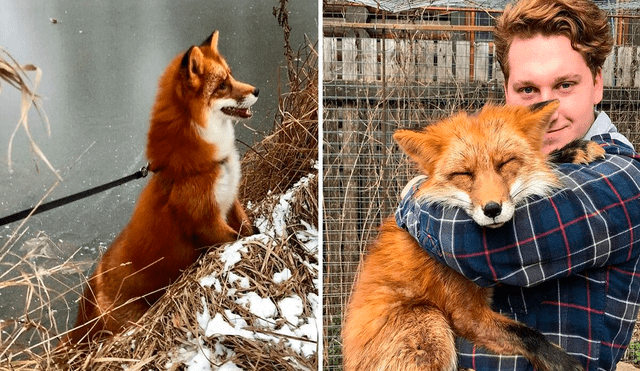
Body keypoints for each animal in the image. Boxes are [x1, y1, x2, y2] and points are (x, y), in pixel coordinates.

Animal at [340, 100, 604, 371]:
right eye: (464, 174)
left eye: (505, 163)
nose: (492, 209)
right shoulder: (466, 315)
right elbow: (527, 334)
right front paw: (564, 363)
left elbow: (541, 160)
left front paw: (570, 151)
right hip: (431, 320)